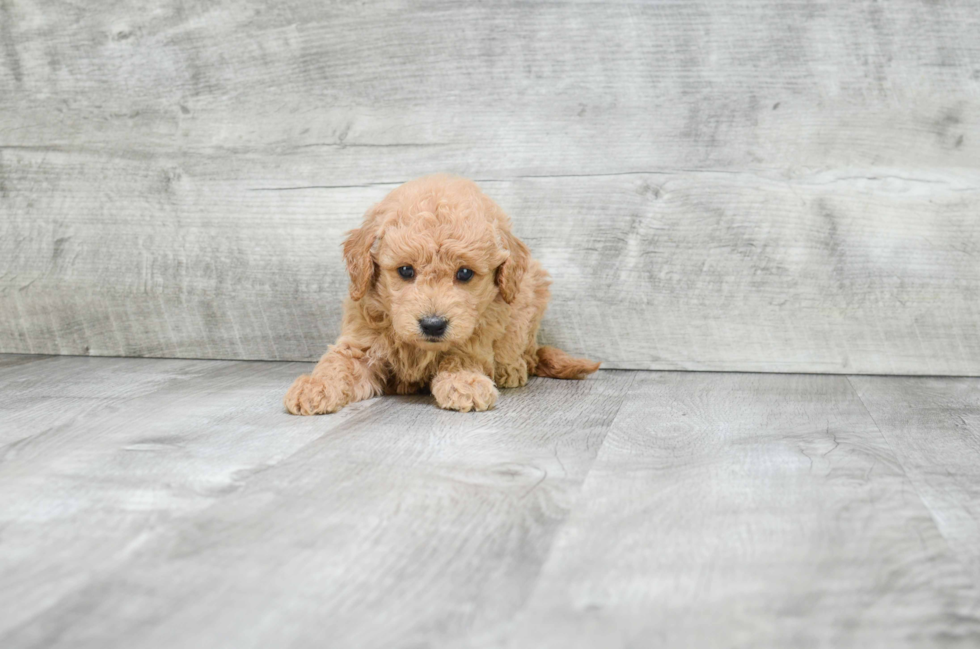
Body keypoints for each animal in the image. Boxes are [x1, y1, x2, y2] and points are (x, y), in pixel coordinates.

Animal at [286, 175, 596, 412]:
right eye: (406, 270)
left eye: (465, 273)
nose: (433, 325)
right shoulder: (360, 341)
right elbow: (338, 363)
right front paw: (315, 386)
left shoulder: (477, 334)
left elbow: (462, 356)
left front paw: (464, 382)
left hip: (530, 292)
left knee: (524, 346)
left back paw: (511, 368)